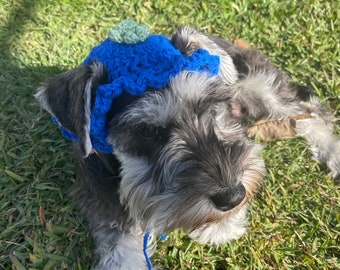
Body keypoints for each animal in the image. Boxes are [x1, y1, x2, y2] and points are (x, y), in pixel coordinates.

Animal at [35, 24, 340, 268]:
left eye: (208, 106)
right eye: (148, 131)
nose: (232, 196)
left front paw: (221, 226)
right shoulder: (100, 200)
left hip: (257, 87)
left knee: (309, 112)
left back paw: (333, 153)